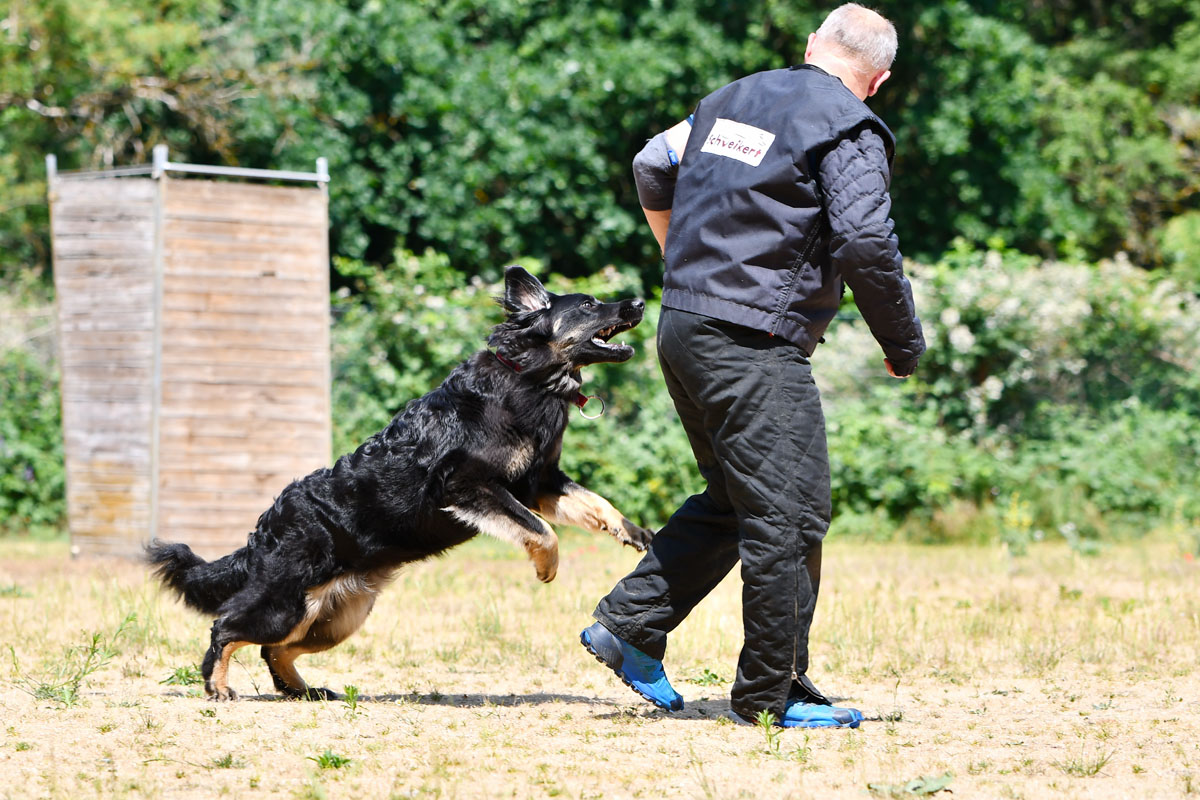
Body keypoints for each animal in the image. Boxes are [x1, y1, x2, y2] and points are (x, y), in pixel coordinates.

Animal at [152, 267, 657, 700]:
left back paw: (302, 691)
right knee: (227, 628)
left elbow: (596, 504)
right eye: (589, 304)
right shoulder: (468, 485)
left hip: (337, 617)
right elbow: (542, 531)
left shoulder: (540, 483)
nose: (639, 301)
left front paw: (634, 532)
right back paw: (218, 686)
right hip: (285, 604)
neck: (527, 377)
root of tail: (264, 529)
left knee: (273, 649)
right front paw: (545, 566)